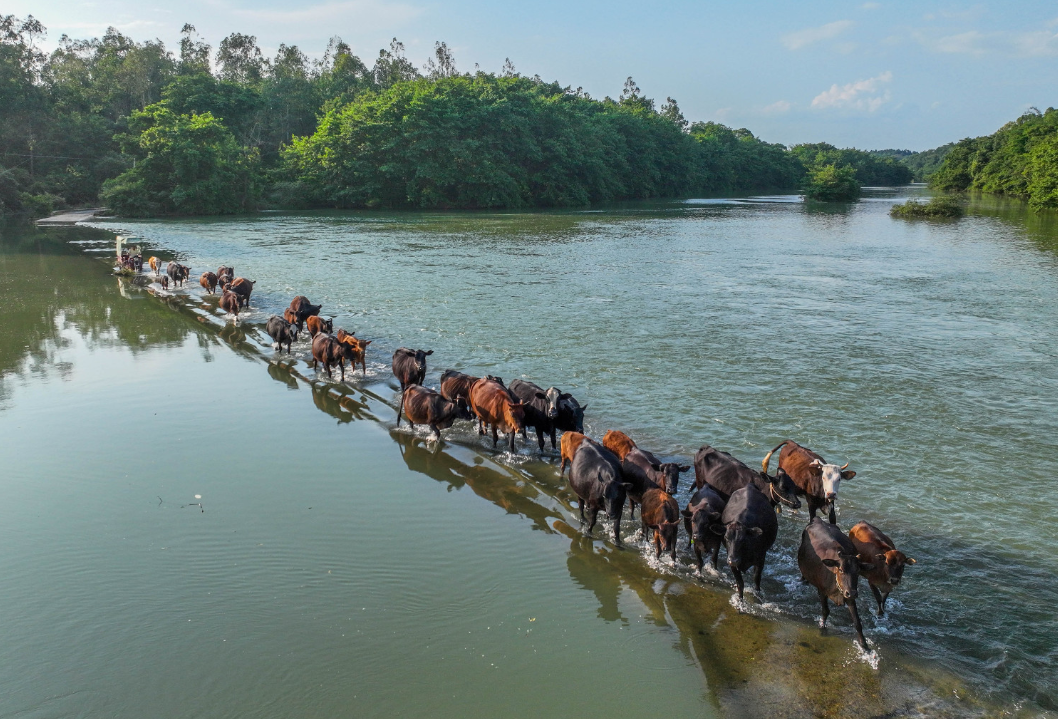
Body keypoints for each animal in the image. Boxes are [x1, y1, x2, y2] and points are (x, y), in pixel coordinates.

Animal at [795, 515, 871, 651]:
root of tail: (818, 519)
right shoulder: (822, 591)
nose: (852, 593)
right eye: (841, 570)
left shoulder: (849, 594)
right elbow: (825, 611)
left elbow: (857, 622)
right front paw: (821, 627)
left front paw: (864, 644)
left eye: (858, 570)